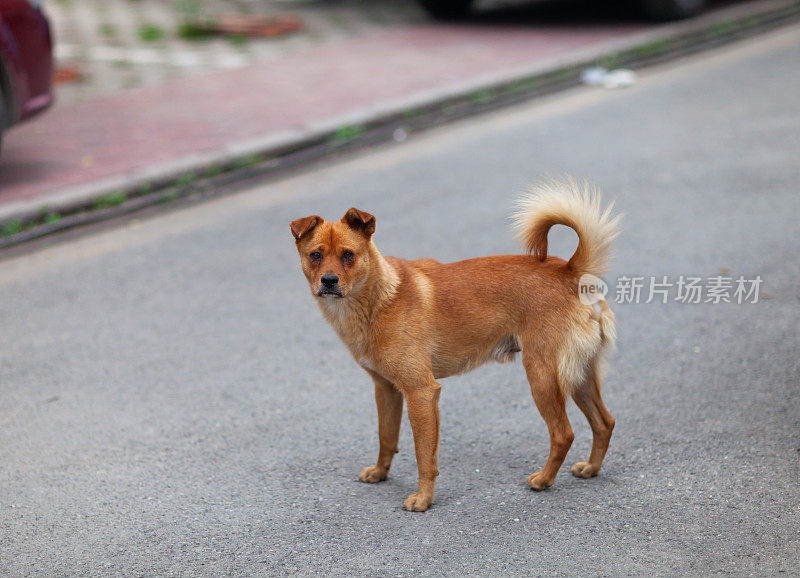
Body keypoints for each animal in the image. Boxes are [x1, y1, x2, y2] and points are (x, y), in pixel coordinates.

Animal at [290, 179, 620, 508]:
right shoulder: (386, 390)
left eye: (348, 255)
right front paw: (381, 473)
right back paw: (591, 468)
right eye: (315, 255)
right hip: (578, 375)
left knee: (563, 434)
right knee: (604, 422)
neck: (379, 297)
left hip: (542, 376)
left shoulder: (421, 393)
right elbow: (387, 437)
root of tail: (571, 271)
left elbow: (424, 455)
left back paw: (543, 479)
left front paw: (423, 499)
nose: (329, 281)